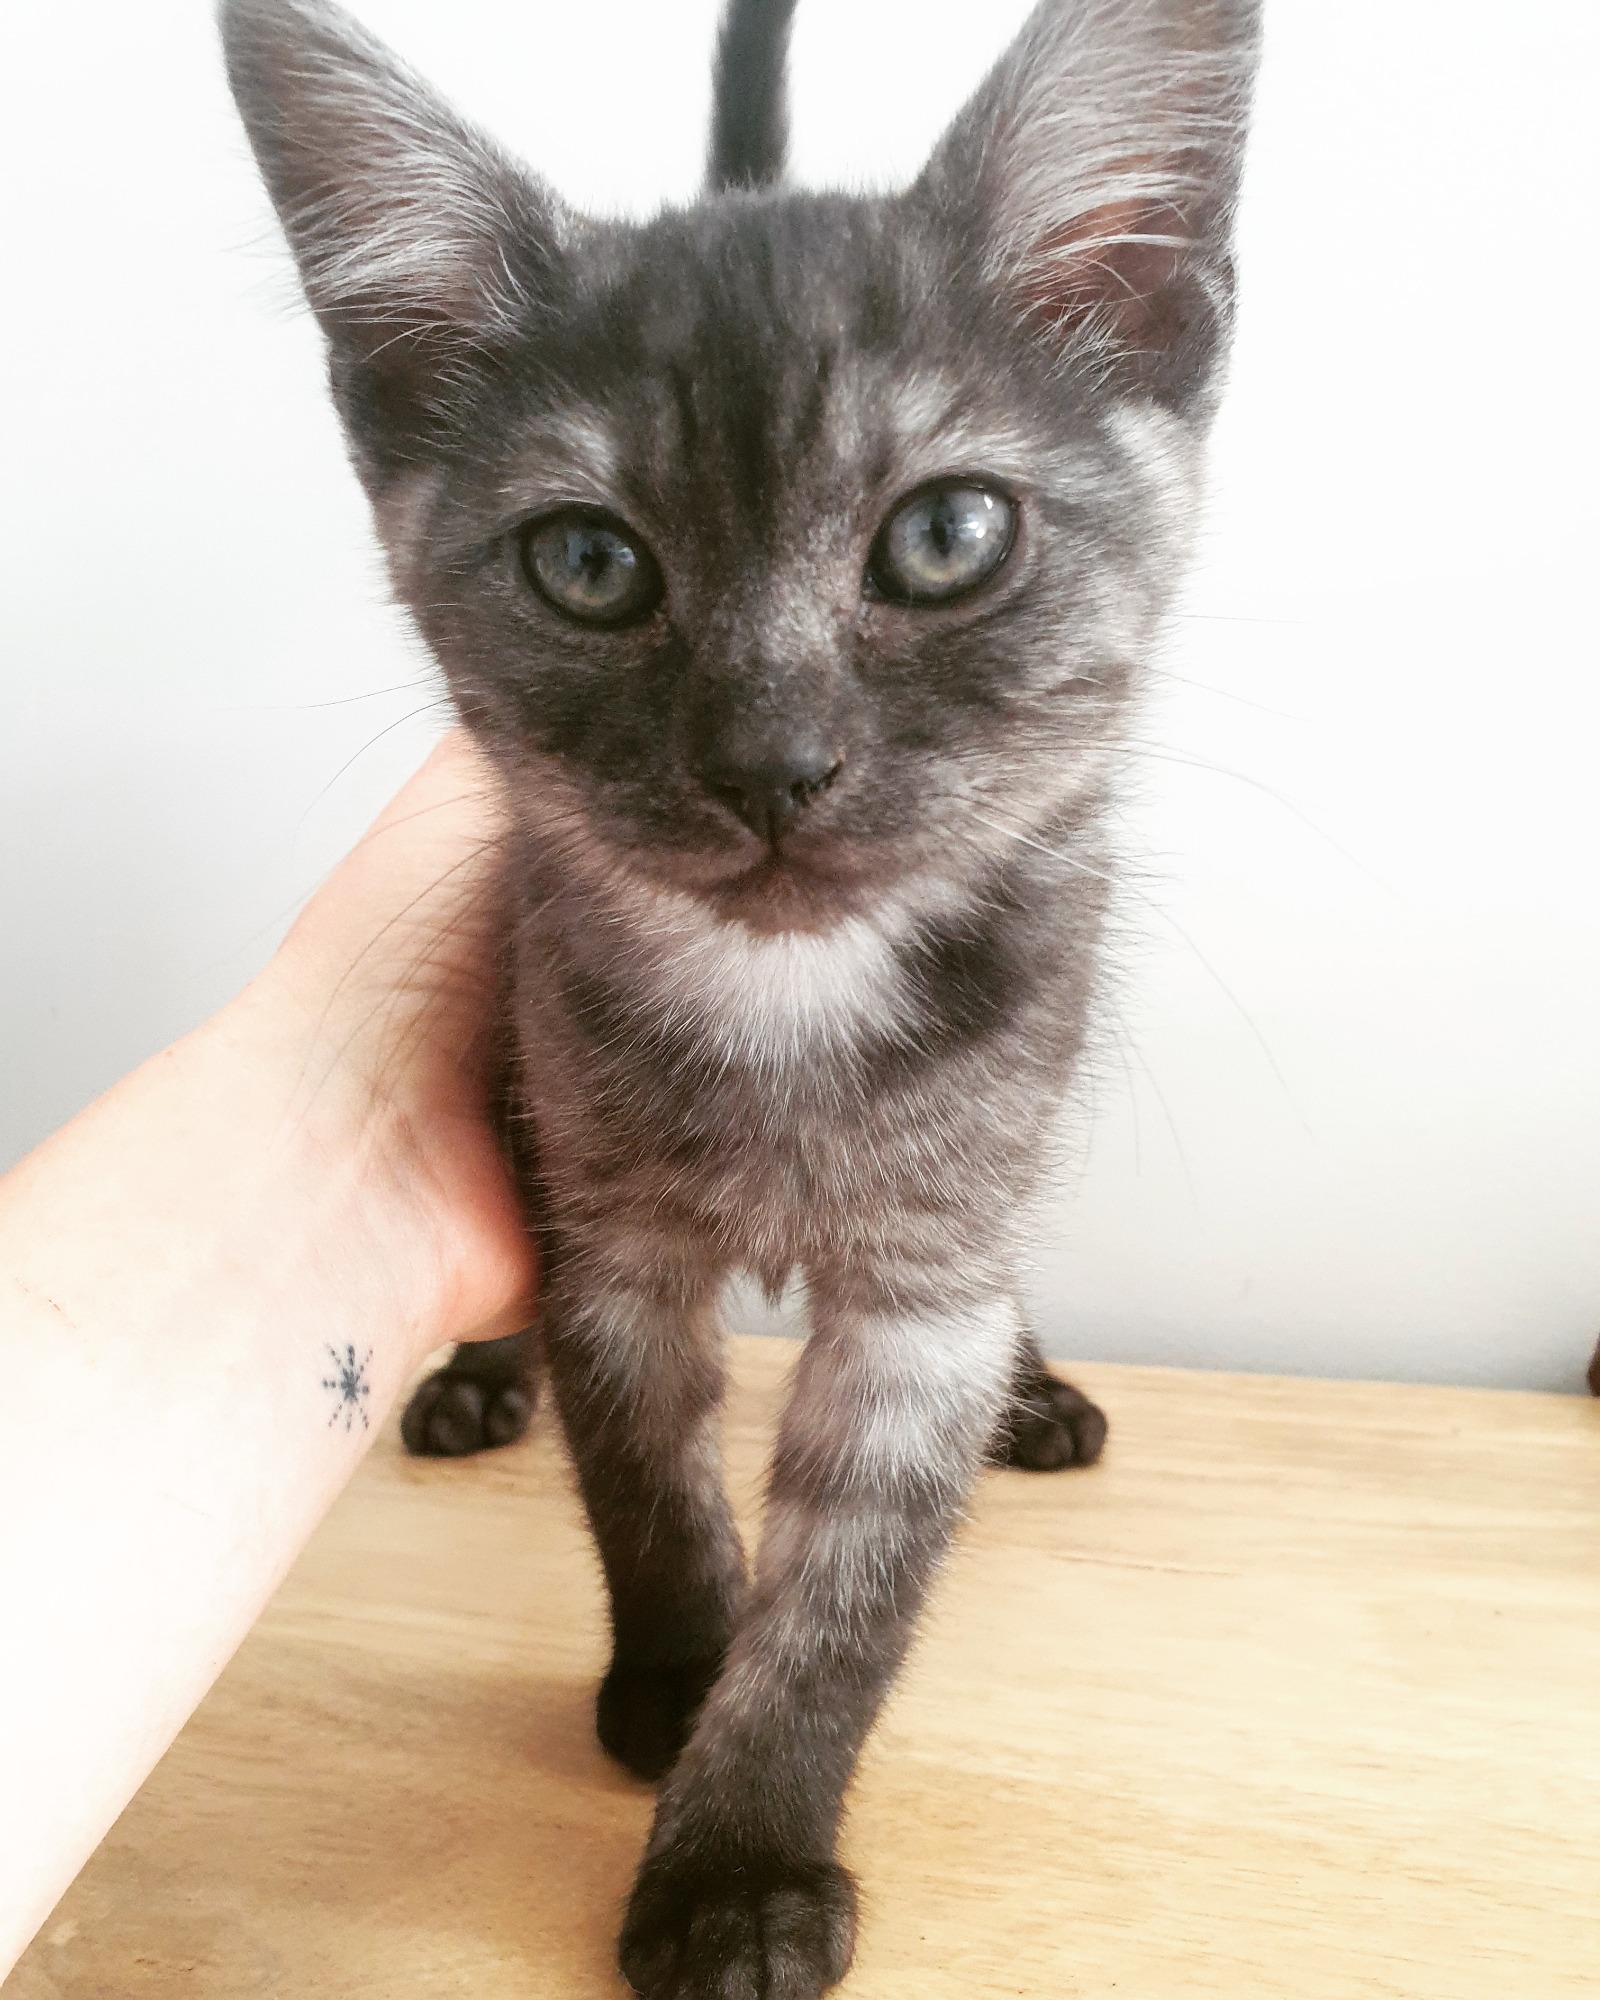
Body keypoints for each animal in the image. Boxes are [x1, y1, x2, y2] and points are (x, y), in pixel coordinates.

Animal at [221, 0, 1260, 1993]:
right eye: (586, 562)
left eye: (946, 536)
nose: (768, 763)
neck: (791, 1002)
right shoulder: (605, 1232)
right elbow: (646, 1484)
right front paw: (678, 1677)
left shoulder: (927, 1282)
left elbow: (848, 1593)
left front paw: (743, 1845)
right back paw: (475, 1384)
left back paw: (1038, 1393)